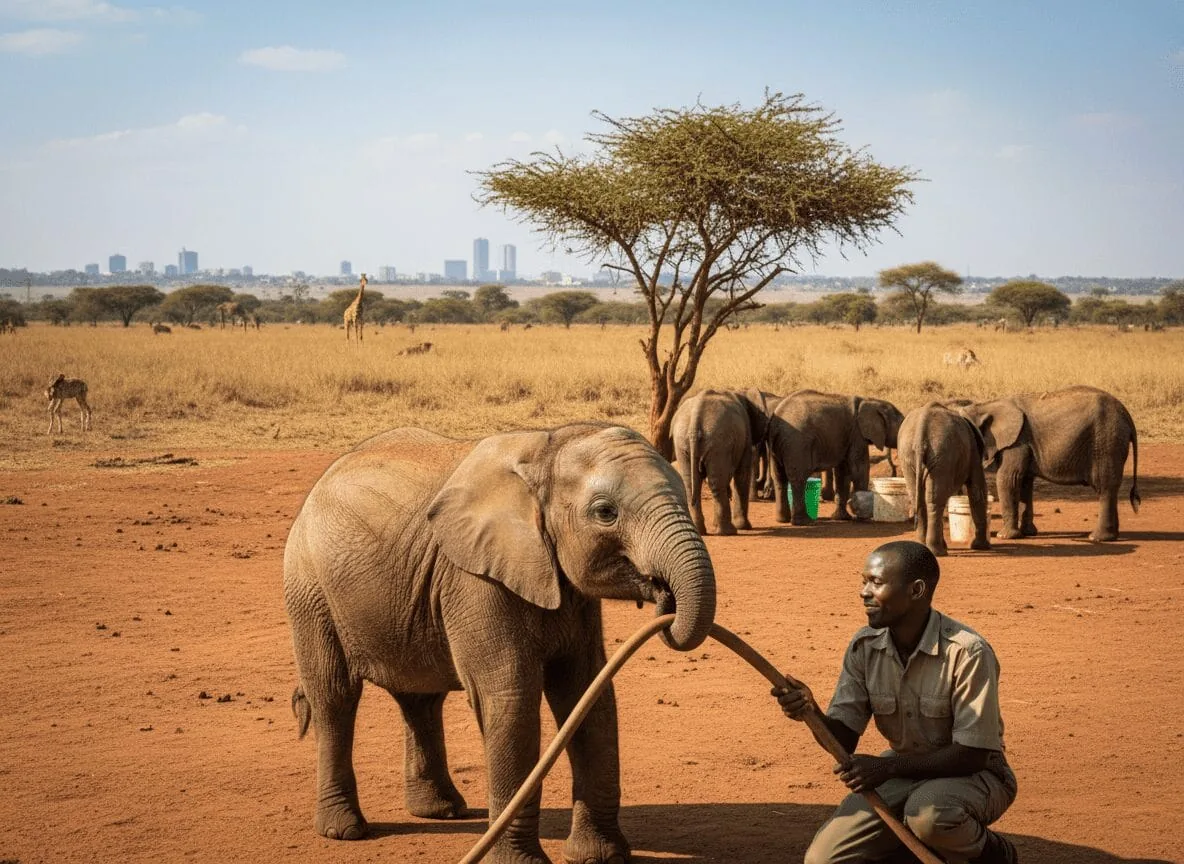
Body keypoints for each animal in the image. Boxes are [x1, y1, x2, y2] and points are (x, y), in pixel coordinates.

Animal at [283, 423, 716, 864]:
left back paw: (442, 811)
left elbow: (587, 693)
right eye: (605, 513)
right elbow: (512, 698)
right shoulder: (475, 579)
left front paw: (599, 857)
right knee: (334, 697)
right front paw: (522, 863)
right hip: (309, 588)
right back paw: (345, 831)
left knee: (420, 699)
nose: (664, 597)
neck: (544, 453)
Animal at [671, 389, 770, 534]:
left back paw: (701, 530)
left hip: (682, 441)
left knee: (690, 483)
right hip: (718, 440)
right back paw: (728, 531)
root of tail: (696, 414)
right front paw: (745, 527)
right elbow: (742, 476)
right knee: (716, 483)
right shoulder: (746, 436)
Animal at [766, 389, 904, 525]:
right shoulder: (856, 433)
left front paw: (843, 518)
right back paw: (804, 522)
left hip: (776, 446)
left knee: (779, 478)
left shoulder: (847, 436)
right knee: (798, 478)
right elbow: (859, 468)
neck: (869, 400)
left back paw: (782, 520)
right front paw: (863, 518)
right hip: (797, 443)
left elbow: (843, 472)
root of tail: (776, 423)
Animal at [898, 402, 991, 556]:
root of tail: (921, 430)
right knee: (935, 500)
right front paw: (981, 547)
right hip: (941, 452)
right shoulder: (973, 451)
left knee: (920, 498)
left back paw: (925, 546)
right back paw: (938, 551)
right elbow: (977, 490)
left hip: (910, 454)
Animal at [959, 386, 1140, 541]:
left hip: (1106, 442)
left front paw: (1005, 536)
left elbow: (1008, 478)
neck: (984, 406)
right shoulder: (1024, 444)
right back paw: (1112, 536)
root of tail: (1126, 414)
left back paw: (1097, 538)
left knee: (1105, 487)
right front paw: (1028, 533)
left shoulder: (1017, 442)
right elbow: (1024, 482)